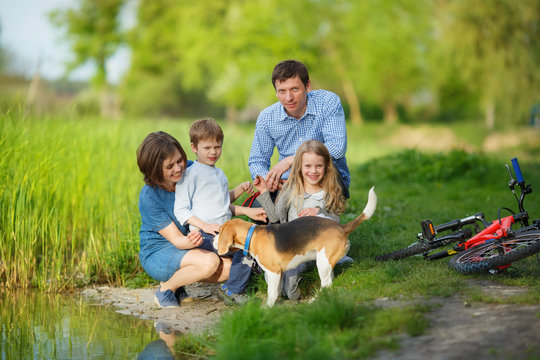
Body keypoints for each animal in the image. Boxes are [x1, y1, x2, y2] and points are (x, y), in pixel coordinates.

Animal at [212, 186, 376, 306]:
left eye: (219, 232)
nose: (213, 240)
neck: (251, 236)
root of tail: (341, 227)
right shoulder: (278, 273)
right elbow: (277, 291)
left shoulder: (273, 271)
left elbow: (272, 293)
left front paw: (267, 308)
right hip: (326, 262)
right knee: (329, 282)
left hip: (323, 262)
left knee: (327, 284)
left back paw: (314, 300)